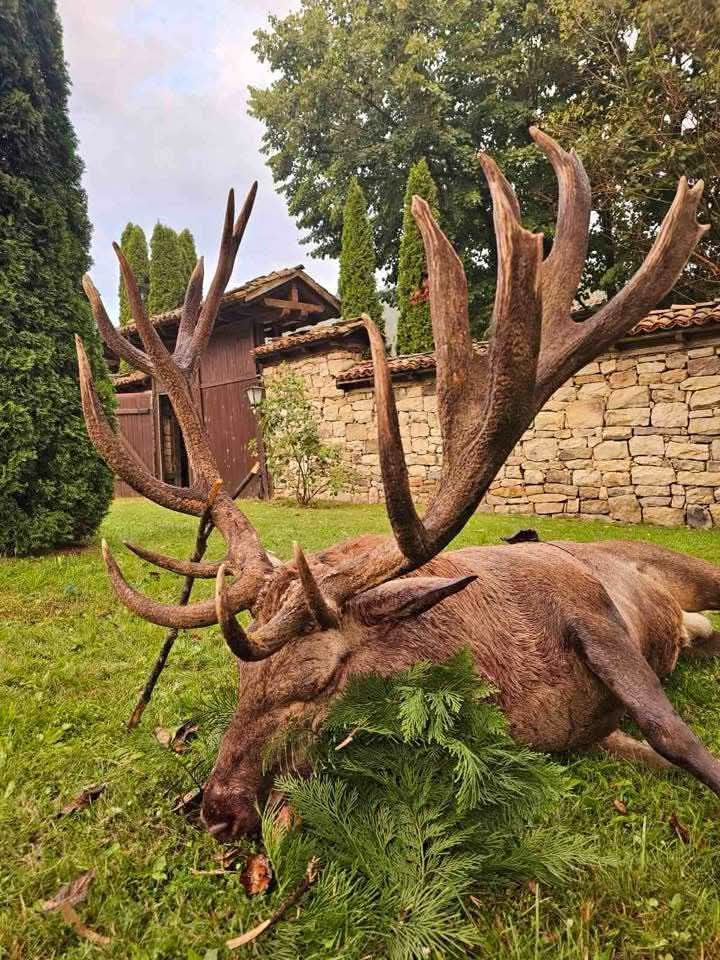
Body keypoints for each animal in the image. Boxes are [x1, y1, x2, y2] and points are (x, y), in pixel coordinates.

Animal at [74, 128, 720, 842]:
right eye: (240, 679)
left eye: (320, 682)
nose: (218, 808)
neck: (511, 684)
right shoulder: (583, 734)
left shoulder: (588, 607)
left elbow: (671, 733)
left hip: (678, 563)